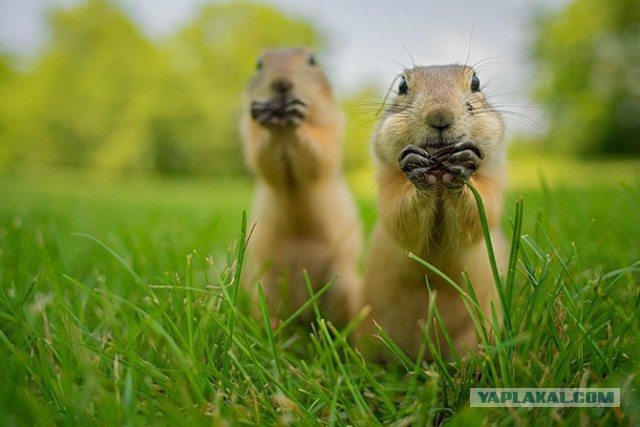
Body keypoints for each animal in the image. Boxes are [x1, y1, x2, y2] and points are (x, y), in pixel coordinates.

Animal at [240, 47, 362, 328]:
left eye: (312, 60)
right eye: (259, 63)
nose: (281, 83)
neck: (283, 131)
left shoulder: (332, 125)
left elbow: (321, 152)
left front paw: (297, 118)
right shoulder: (249, 132)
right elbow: (261, 156)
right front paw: (264, 115)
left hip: (344, 284)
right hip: (262, 286)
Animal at [356, 63, 510, 362]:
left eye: (476, 82)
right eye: (402, 85)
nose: (440, 115)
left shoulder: (493, 182)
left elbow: (482, 212)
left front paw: (464, 165)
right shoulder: (388, 186)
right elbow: (399, 218)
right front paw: (416, 167)